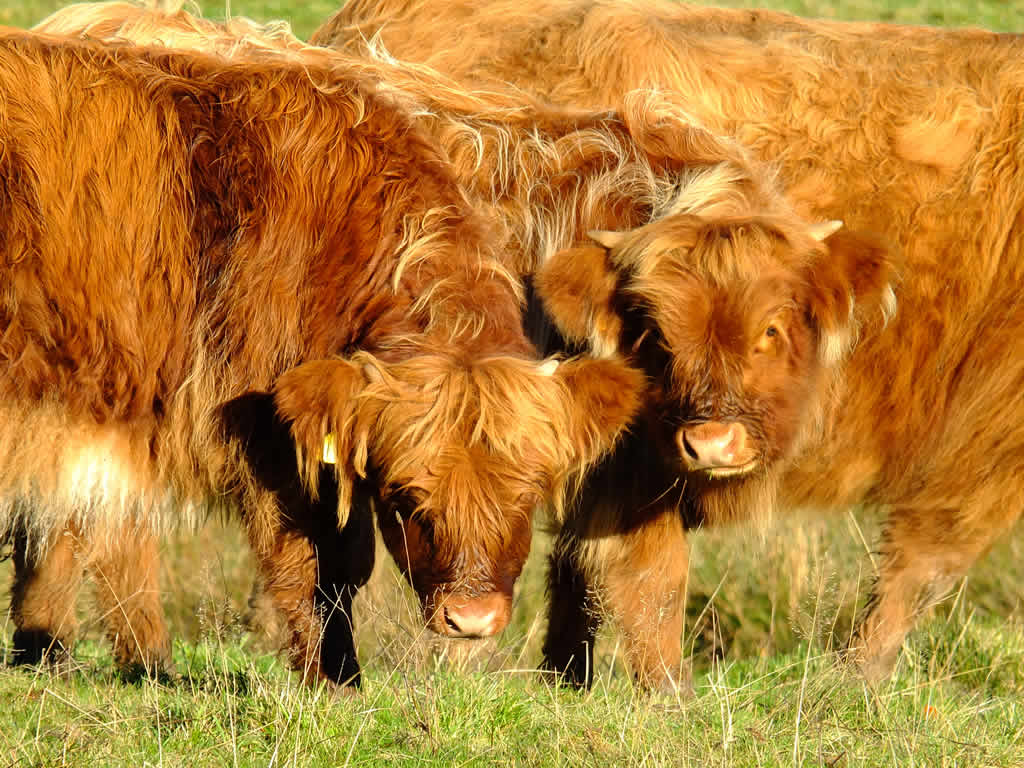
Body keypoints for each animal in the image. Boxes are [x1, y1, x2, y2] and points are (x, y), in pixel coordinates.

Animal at [0, 29, 649, 688]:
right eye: (407, 498)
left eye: (527, 494)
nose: (472, 619)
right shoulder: (270, 445)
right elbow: (324, 564)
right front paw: (337, 678)